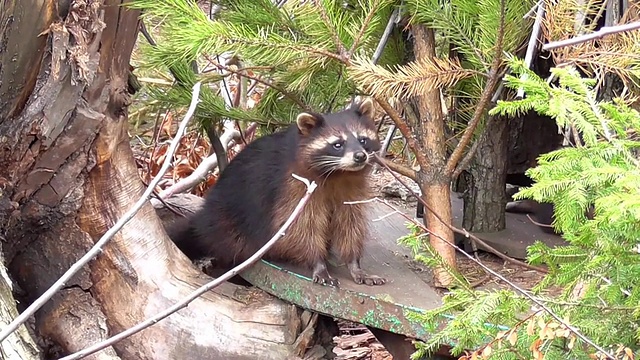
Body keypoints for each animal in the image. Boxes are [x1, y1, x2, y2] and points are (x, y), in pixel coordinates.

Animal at [168, 97, 384, 286]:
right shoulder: (293, 189)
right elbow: (300, 229)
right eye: (337, 144)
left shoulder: (351, 191)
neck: (339, 174)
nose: (360, 156)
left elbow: (350, 224)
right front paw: (318, 263)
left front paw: (354, 264)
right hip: (228, 220)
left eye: (363, 140)